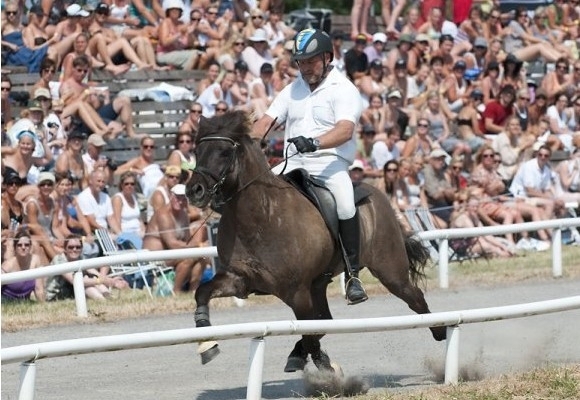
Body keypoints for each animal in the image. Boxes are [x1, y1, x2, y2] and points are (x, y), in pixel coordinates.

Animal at [186, 110, 444, 372]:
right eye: (197, 150)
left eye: (224, 152)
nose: (194, 191)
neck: (261, 216)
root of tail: (379, 194)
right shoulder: (240, 279)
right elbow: (202, 293)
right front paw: (207, 345)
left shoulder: (297, 293)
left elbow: (310, 331)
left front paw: (324, 366)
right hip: (319, 283)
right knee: (325, 319)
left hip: (390, 272)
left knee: (414, 297)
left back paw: (440, 330)